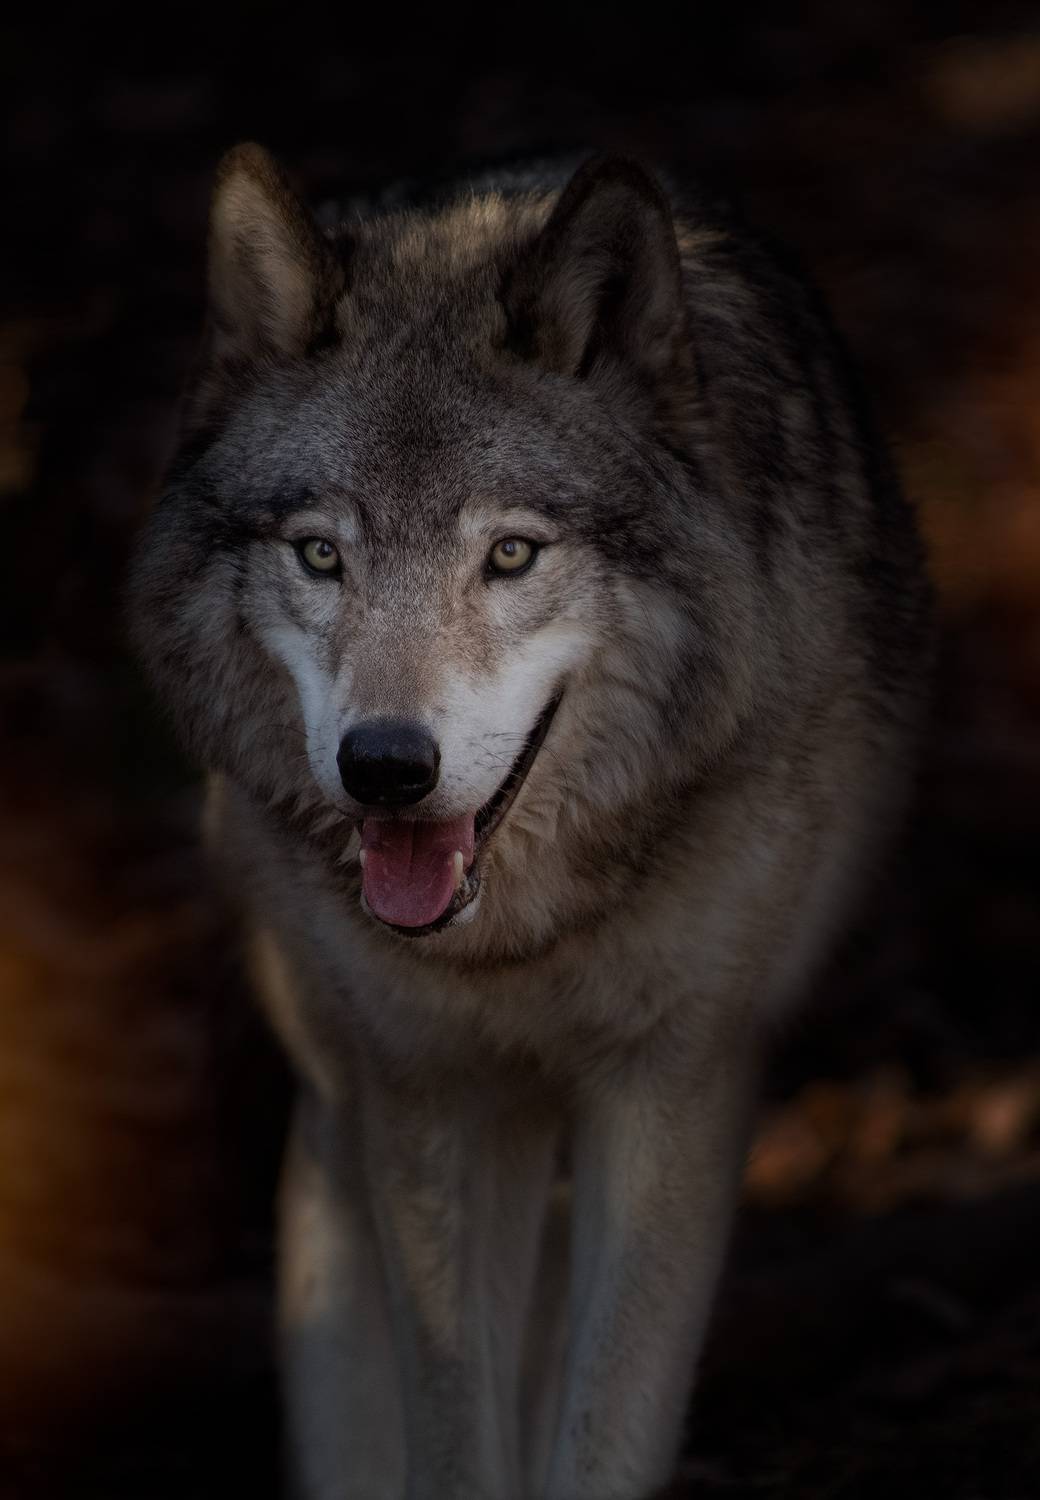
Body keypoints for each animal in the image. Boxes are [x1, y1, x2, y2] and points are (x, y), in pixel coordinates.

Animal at [129, 143, 930, 1499]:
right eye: (319, 557)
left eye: (508, 556)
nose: (384, 769)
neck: (518, 942)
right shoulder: (430, 1093)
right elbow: (457, 1431)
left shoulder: (673, 1083)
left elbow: (609, 1421)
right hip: (339, 1110)